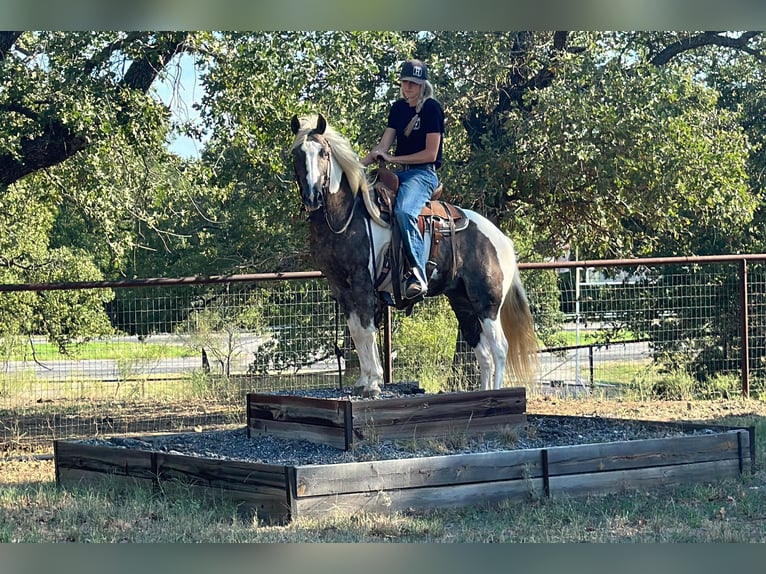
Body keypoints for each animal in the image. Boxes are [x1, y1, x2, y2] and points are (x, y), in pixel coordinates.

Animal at [290, 114, 540, 398]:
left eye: (323, 153)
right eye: (297, 154)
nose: (312, 196)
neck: (347, 215)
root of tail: (501, 239)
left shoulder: (362, 281)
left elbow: (366, 330)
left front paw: (374, 383)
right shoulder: (339, 284)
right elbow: (355, 330)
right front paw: (363, 381)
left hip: (487, 301)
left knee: (499, 348)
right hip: (462, 301)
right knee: (483, 354)